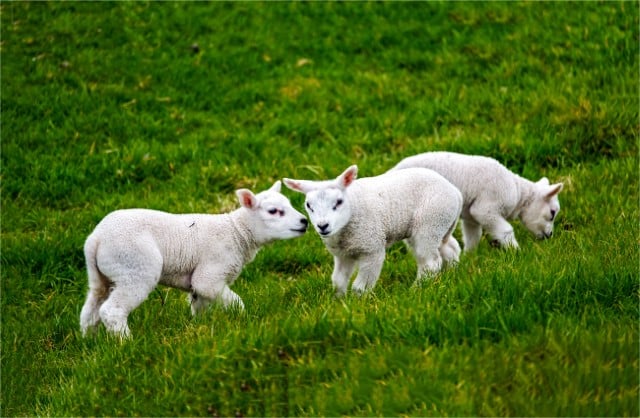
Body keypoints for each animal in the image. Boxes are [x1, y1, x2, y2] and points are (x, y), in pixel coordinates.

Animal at [80, 180, 310, 336]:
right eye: (274, 211)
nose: (304, 221)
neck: (237, 233)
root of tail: (96, 239)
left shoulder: (198, 286)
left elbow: (200, 307)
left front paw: (201, 330)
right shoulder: (210, 275)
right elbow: (235, 302)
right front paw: (245, 322)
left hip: (102, 275)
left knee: (90, 311)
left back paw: (91, 343)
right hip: (134, 267)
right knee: (112, 310)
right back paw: (126, 343)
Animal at [282, 165, 462, 296]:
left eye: (339, 202)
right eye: (308, 205)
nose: (323, 226)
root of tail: (455, 191)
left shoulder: (372, 249)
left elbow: (360, 286)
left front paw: (358, 305)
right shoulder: (343, 255)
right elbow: (338, 281)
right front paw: (339, 302)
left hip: (430, 222)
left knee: (430, 263)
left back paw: (416, 290)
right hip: (441, 224)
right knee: (450, 248)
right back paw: (451, 274)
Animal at [390, 152, 564, 250]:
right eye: (552, 213)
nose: (550, 235)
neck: (518, 192)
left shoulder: (470, 217)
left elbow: (473, 238)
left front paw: (468, 259)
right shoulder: (486, 209)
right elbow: (506, 231)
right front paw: (516, 253)